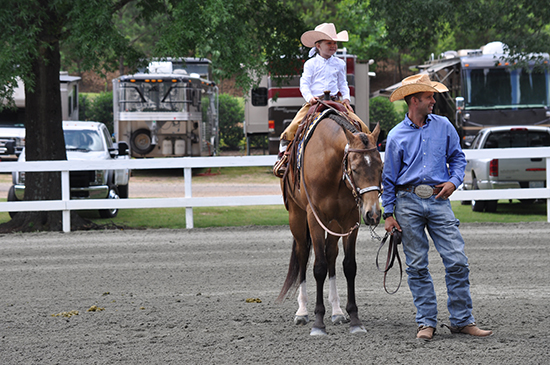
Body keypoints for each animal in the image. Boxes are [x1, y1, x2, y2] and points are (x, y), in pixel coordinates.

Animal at [278, 112, 382, 334]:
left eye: (381, 167)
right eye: (355, 169)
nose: (373, 214)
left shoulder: (350, 220)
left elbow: (349, 266)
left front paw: (354, 319)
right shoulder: (315, 218)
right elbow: (319, 267)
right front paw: (318, 322)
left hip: (334, 224)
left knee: (331, 254)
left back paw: (337, 311)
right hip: (297, 217)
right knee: (303, 255)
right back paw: (302, 312)